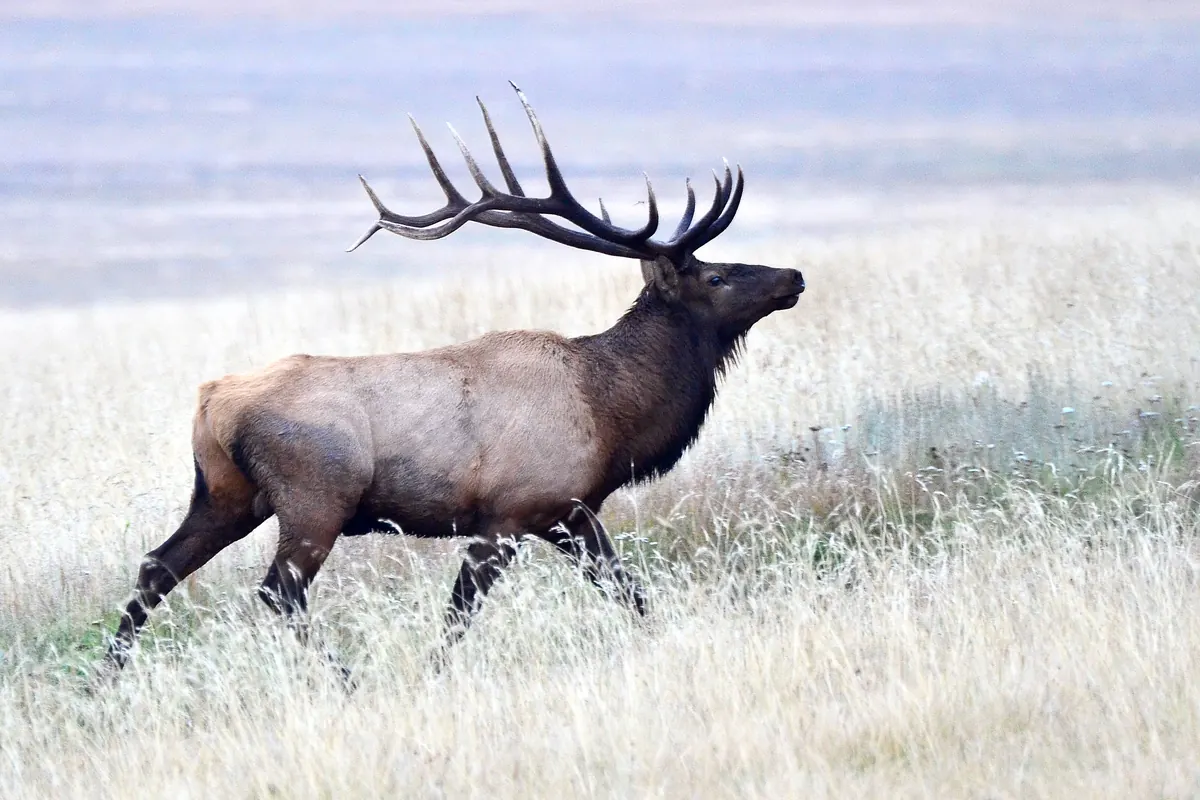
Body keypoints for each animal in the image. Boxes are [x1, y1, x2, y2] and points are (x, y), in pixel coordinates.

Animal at [104, 83, 805, 669]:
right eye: (716, 276)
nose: (793, 276)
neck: (612, 414)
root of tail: (210, 402)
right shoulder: (508, 514)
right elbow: (459, 613)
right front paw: (433, 672)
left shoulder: (572, 512)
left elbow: (628, 590)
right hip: (314, 498)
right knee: (278, 591)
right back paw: (344, 677)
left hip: (225, 494)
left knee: (156, 567)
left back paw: (105, 679)